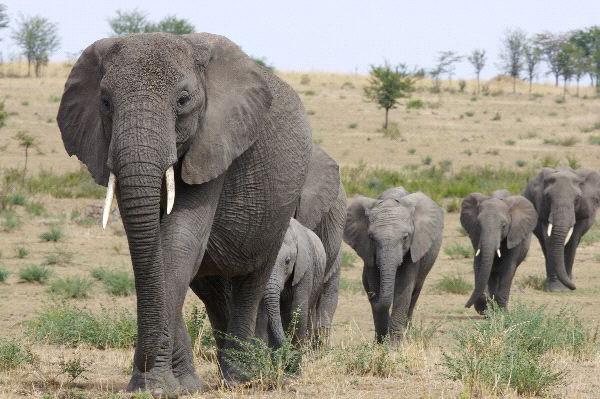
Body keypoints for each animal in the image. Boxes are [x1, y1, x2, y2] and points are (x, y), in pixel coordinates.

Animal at [55, 33, 314, 396]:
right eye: (104, 102)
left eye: (183, 100)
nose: (141, 375)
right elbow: (161, 255)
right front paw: (175, 386)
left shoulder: (215, 141)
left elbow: (178, 244)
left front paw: (155, 387)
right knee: (212, 288)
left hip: (280, 213)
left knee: (252, 280)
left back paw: (242, 378)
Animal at [342, 188, 446, 344]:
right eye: (371, 237)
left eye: (405, 237)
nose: (371, 296)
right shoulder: (368, 252)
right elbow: (375, 281)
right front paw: (381, 343)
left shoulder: (414, 248)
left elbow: (404, 288)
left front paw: (394, 345)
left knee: (414, 294)